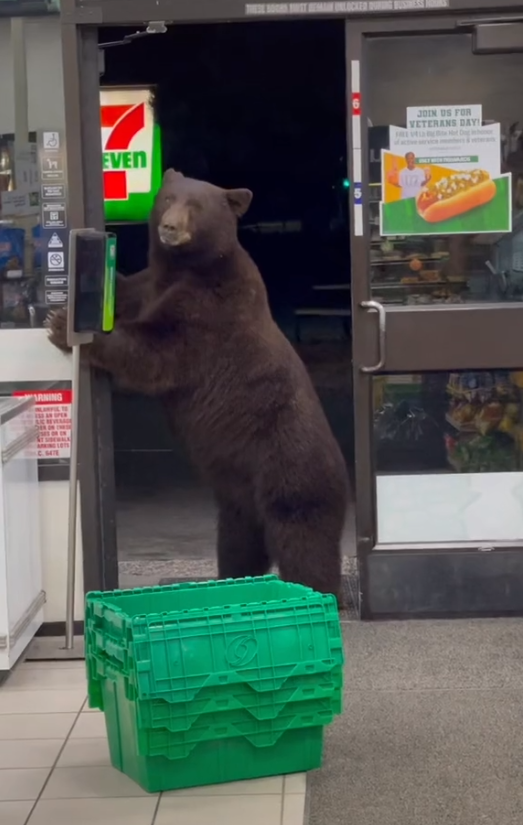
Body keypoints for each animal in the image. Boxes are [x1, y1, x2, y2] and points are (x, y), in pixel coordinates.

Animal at [48, 169, 349, 599]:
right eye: (167, 197)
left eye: (196, 206)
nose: (169, 227)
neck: (186, 267)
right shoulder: (151, 285)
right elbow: (128, 290)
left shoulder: (209, 312)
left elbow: (156, 351)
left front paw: (64, 327)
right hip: (239, 501)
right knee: (239, 544)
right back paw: (233, 581)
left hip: (293, 472)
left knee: (304, 543)